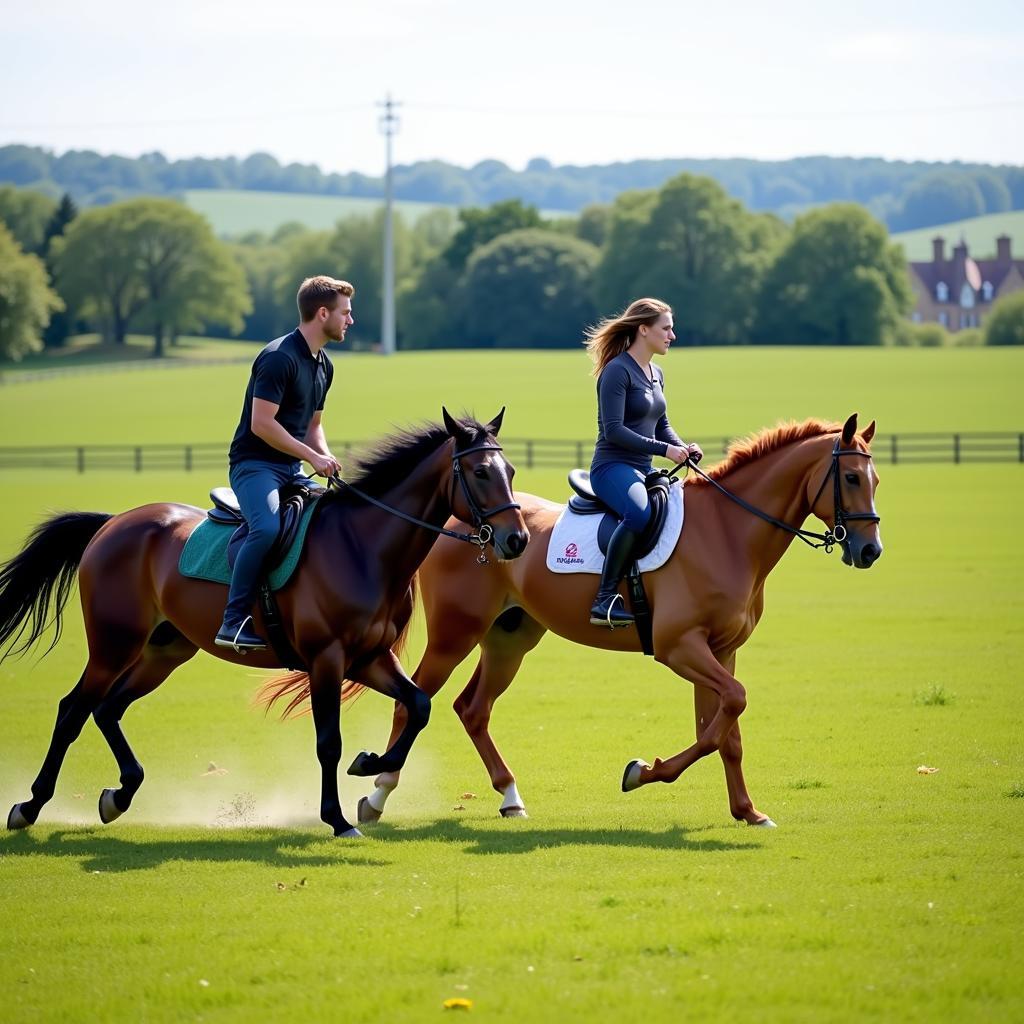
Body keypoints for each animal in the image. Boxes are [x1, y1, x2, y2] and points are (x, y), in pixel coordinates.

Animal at [0, 403, 528, 835]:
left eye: (510, 469)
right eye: (481, 472)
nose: (517, 540)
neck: (362, 548)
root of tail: (113, 523)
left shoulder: (368, 658)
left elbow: (417, 705)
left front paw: (369, 763)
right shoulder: (326, 660)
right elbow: (329, 742)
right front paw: (338, 820)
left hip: (164, 650)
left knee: (108, 709)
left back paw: (120, 795)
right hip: (113, 645)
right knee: (73, 709)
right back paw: (29, 807)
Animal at [329, 411, 880, 827]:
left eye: (875, 480)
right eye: (852, 478)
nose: (871, 550)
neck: (727, 532)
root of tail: (463, 524)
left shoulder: (720, 651)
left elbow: (726, 731)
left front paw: (748, 811)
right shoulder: (680, 648)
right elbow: (720, 723)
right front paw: (642, 772)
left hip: (510, 639)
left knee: (472, 709)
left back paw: (510, 797)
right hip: (454, 636)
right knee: (411, 702)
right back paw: (376, 795)